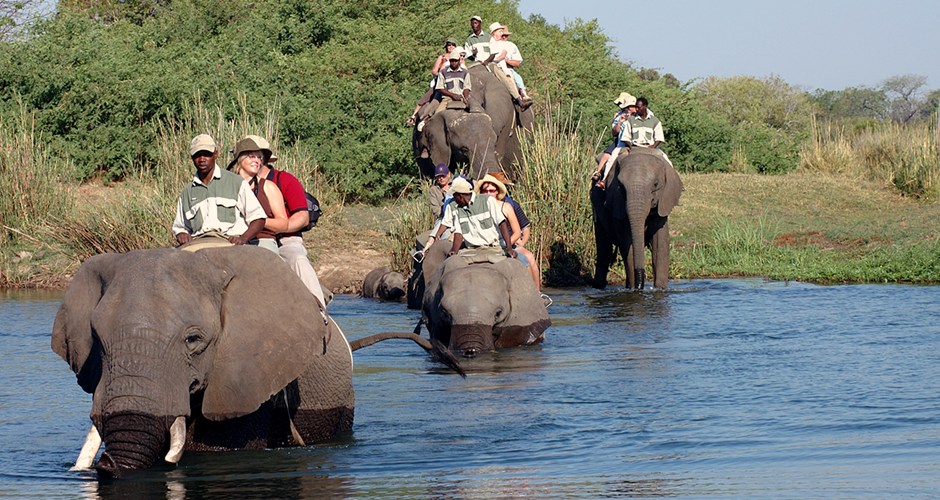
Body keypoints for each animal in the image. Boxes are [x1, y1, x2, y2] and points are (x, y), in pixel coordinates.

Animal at [591, 147, 684, 290]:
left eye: (656, 184)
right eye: (620, 186)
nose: (641, 285)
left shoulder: (663, 203)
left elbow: (660, 244)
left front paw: (660, 288)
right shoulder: (617, 203)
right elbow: (627, 243)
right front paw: (635, 289)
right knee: (603, 249)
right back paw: (599, 286)